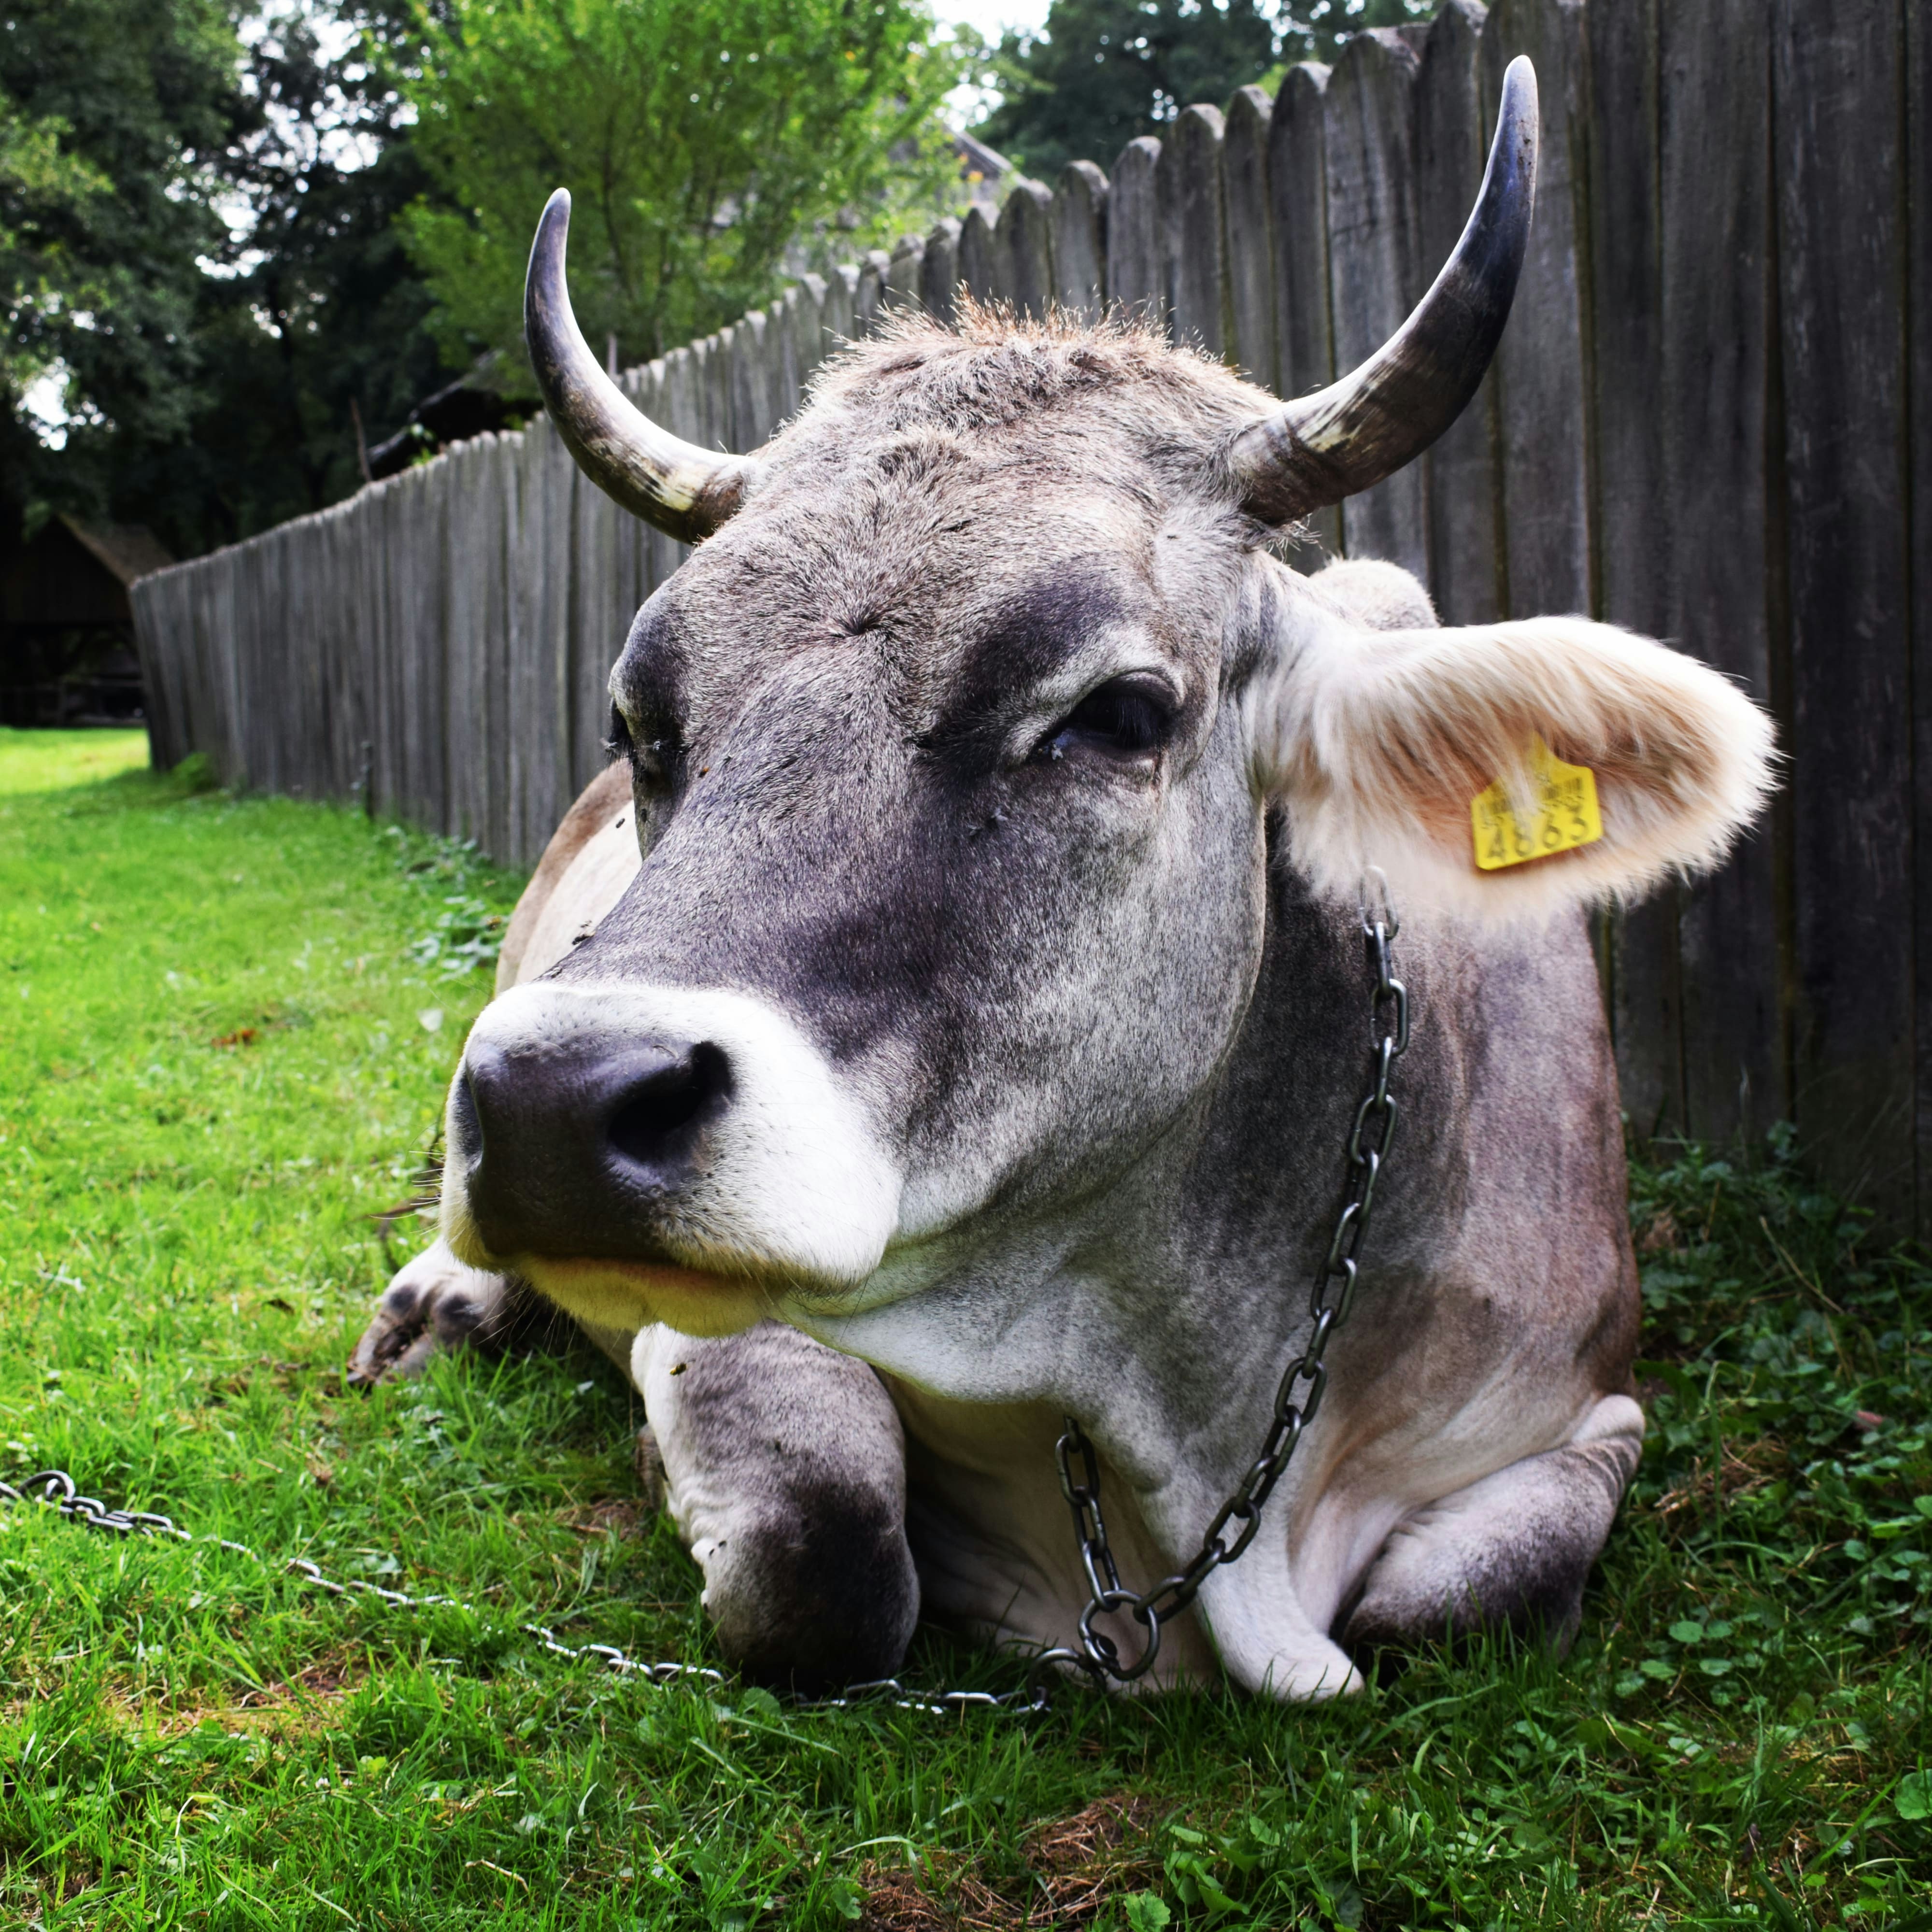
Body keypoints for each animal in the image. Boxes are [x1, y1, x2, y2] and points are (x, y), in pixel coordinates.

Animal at [351, 61, 1774, 1698]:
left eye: (1120, 711)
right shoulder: (736, 1335)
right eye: (642, 719)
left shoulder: (1584, 1412)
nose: (549, 1107)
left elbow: (1459, 1600)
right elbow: (822, 1559)